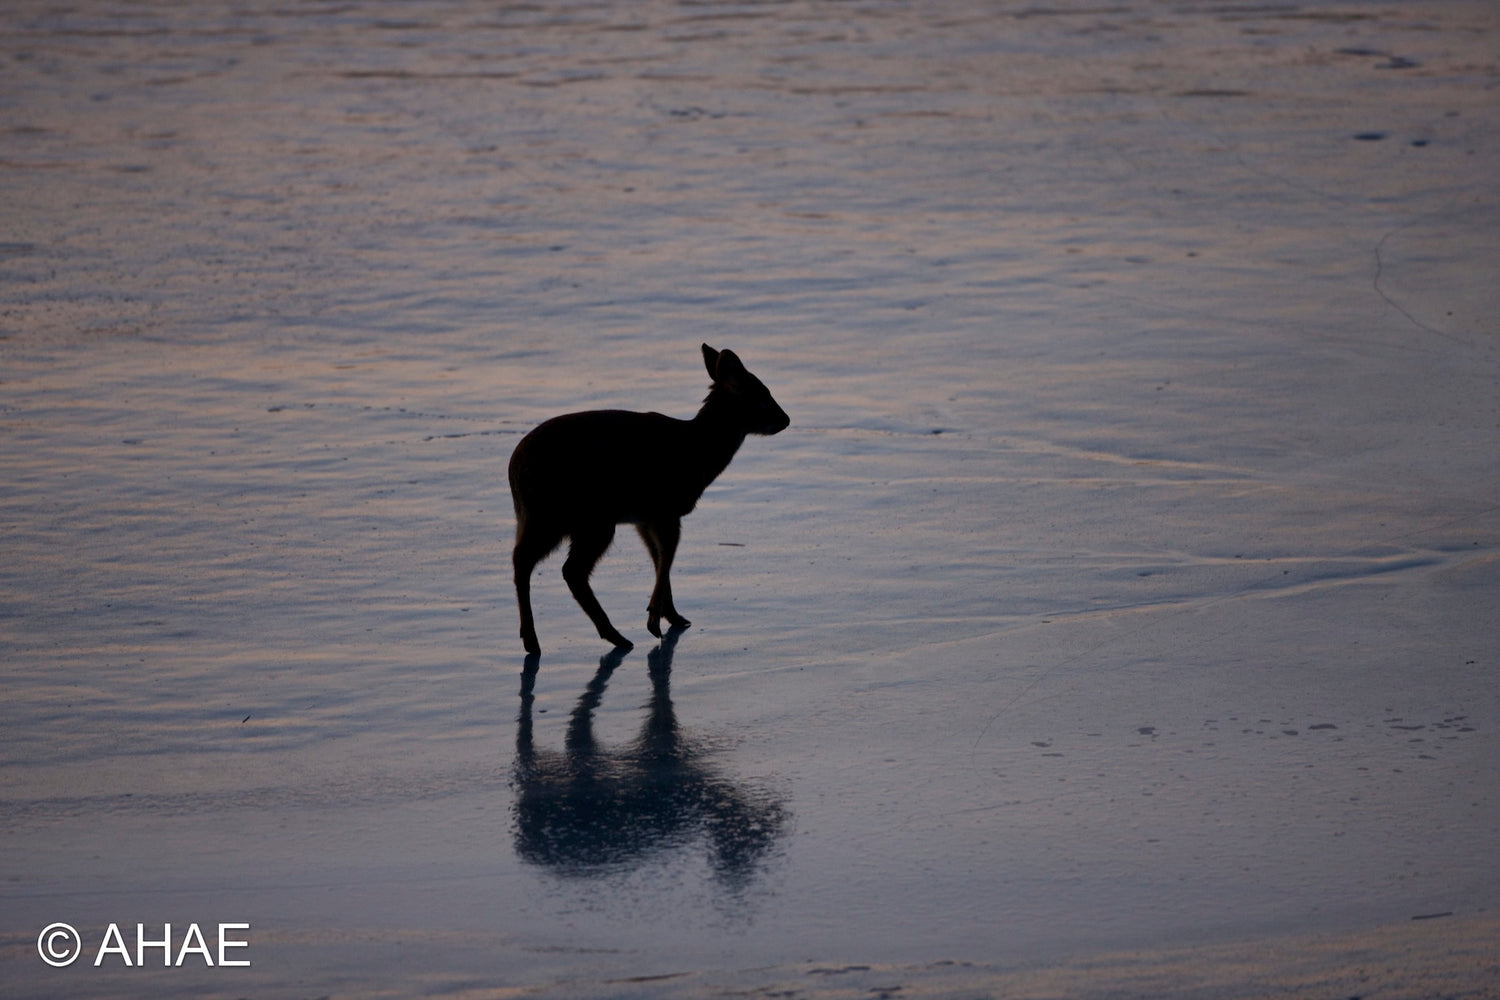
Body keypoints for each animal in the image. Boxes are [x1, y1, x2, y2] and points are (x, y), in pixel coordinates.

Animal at [508, 344, 790, 654]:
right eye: (761, 395)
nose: (785, 420)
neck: (697, 449)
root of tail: (515, 471)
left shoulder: (643, 518)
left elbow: (658, 558)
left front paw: (673, 616)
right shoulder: (665, 508)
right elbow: (667, 556)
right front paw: (654, 621)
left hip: (543, 517)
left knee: (525, 559)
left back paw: (536, 639)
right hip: (584, 516)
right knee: (568, 569)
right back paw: (611, 637)